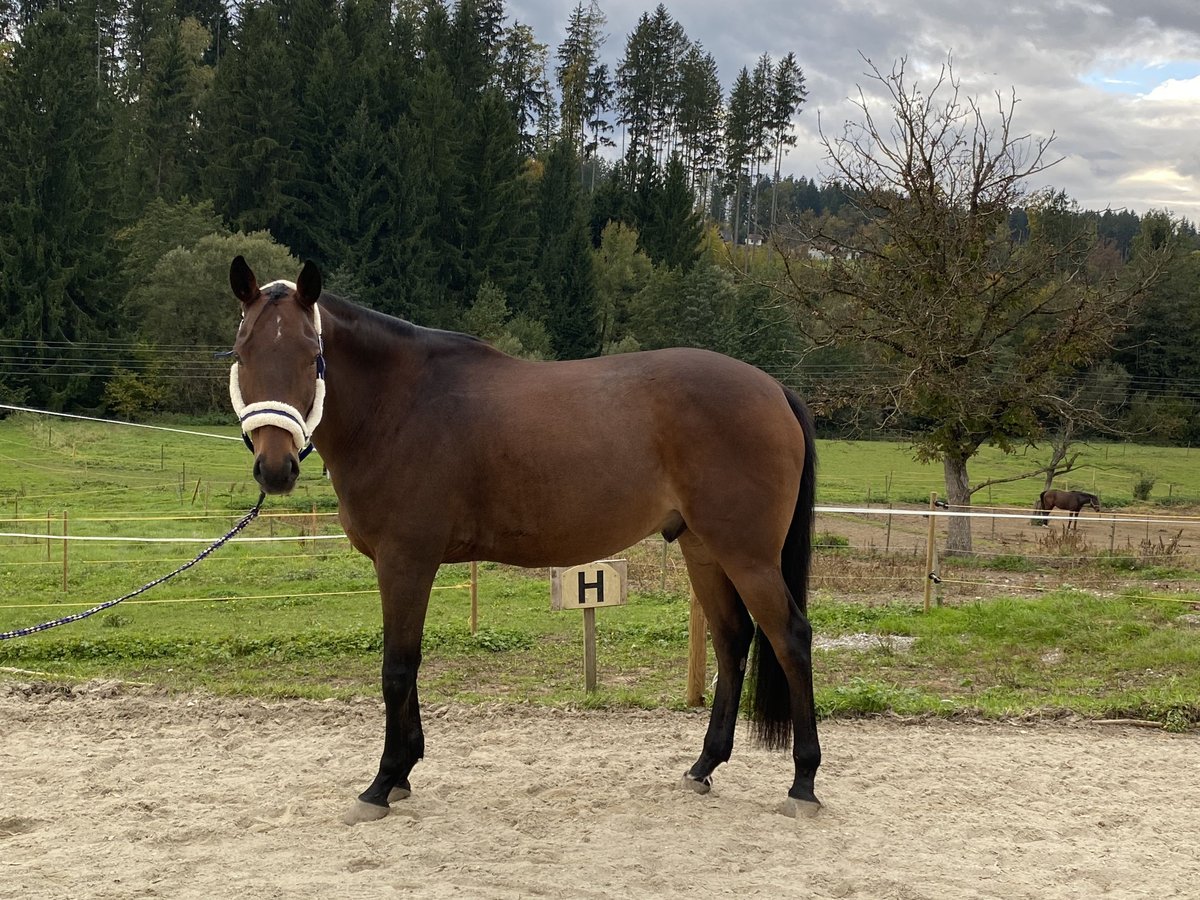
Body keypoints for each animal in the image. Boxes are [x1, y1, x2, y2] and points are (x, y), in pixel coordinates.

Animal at [226, 256, 821, 824]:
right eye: (242, 352)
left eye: (311, 355)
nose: (275, 469)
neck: (400, 405)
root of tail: (774, 389)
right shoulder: (403, 565)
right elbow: (408, 666)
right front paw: (403, 773)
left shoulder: (405, 561)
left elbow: (398, 667)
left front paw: (382, 782)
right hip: (704, 549)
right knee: (732, 640)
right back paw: (704, 766)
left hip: (748, 556)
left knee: (790, 638)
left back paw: (803, 782)